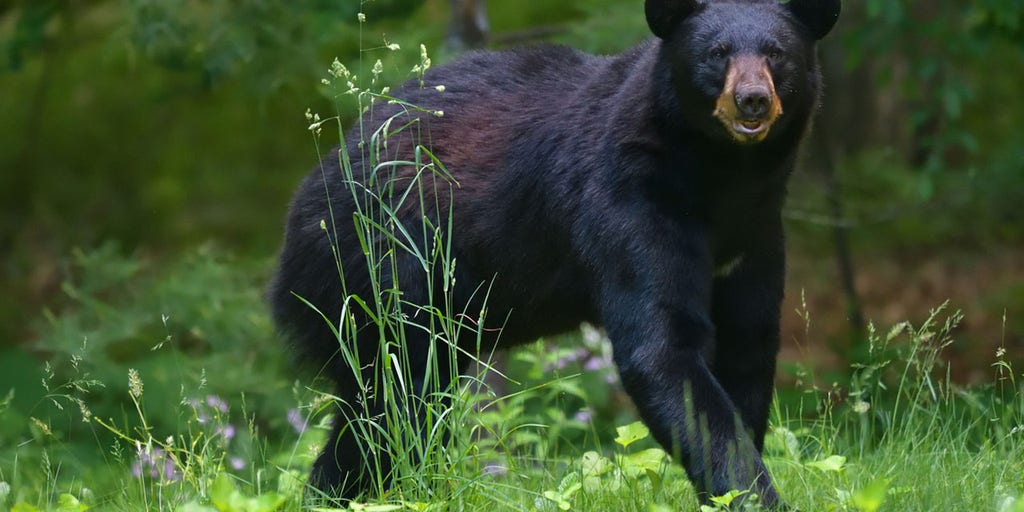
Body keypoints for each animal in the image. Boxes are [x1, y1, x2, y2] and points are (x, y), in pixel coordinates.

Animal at [268, 0, 840, 508]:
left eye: (777, 53)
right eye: (716, 53)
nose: (752, 99)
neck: (722, 177)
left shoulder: (755, 232)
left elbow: (748, 343)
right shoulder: (631, 202)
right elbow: (663, 348)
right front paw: (754, 495)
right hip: (382, 271)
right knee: (393, 401)